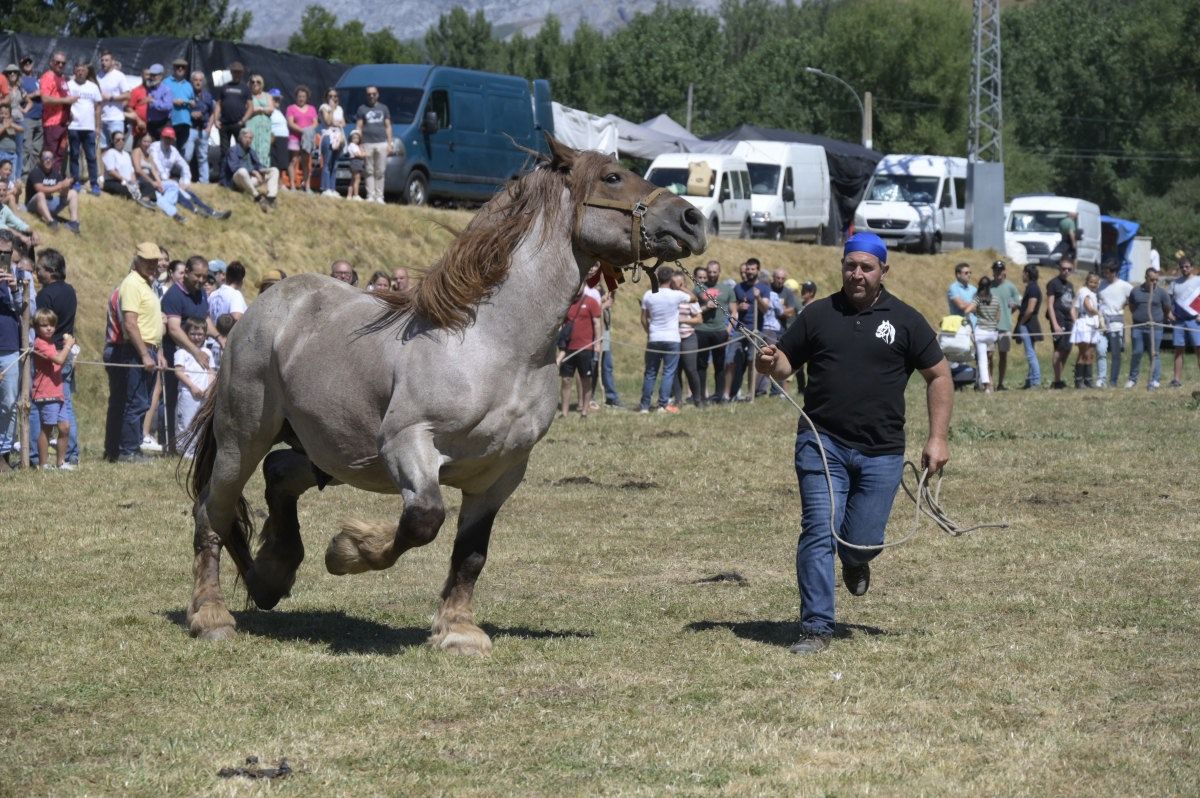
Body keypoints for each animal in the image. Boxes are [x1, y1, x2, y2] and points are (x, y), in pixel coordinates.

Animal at [186, 138, 705, 652]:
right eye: (613, 177)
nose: (693, 220)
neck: (497, 344)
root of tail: (268, 303)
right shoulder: (407, 444)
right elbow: (423, 520)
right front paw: (349, 551)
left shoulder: (499, 474)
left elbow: (471, 552)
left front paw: (457, 630)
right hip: (244, 438)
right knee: (213, 510)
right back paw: (211, 615)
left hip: (330, 450)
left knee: (278, 474)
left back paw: (271, 575)